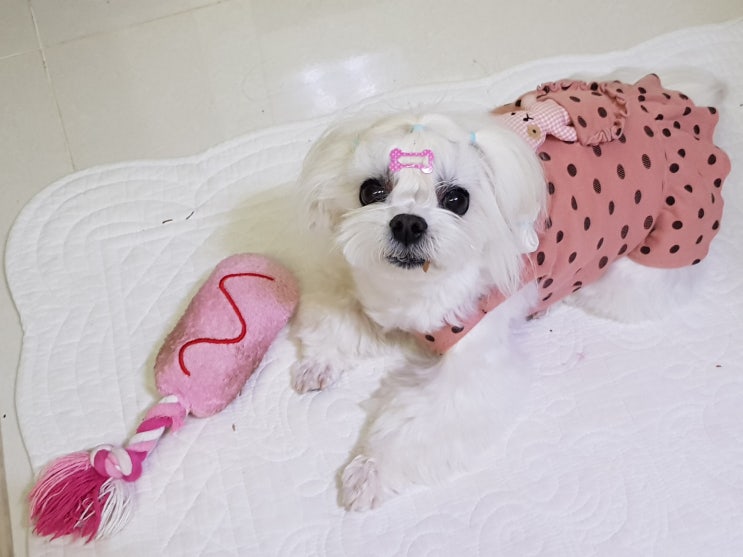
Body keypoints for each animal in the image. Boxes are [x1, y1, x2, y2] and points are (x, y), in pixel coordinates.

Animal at [288, 70, 731, 511]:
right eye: (371, 191)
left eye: (457, 199)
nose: (408, 223)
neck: (419, 287)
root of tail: (677, 100)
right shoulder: (370, 287)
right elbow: (337, 313)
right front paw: (320, 362)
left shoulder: (472, 369)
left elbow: (423, 421)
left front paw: (369, 470)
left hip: (643, 264)